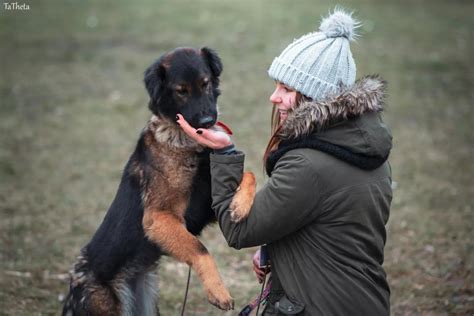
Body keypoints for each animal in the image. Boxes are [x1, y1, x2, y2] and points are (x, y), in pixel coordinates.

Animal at [62, 47, 241, 316]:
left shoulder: (205, 207)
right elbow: (199, 249)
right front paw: (218, 291)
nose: (208, 122)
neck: (187, 142)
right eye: (181, 91)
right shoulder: (159, 218)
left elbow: (248, 179)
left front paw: (243, 205)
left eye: (206, 84)